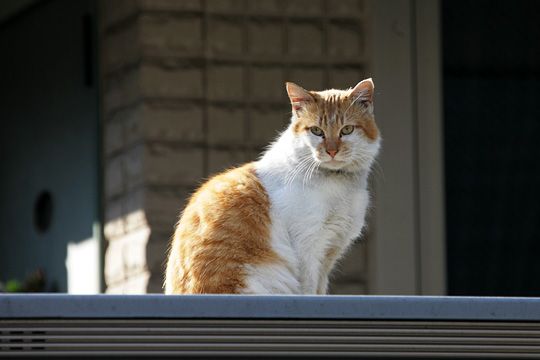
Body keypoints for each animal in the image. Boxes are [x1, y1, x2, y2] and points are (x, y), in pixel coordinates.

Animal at [165, 77, 380, 294]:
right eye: (316, 131)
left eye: (347, 130)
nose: (332, 151)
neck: (337, 182)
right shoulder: (307, 248)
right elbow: (308, 289)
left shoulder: (329, 253)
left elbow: (320, 290)